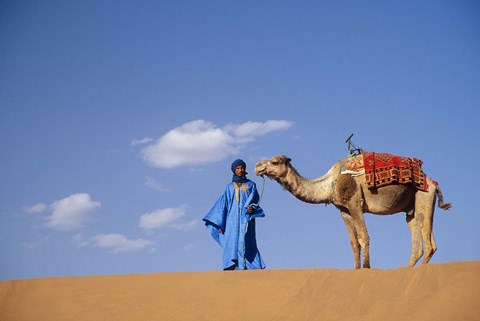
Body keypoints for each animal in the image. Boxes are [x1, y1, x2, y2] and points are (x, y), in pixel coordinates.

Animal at [255, 154, 450, 268]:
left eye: (275, 162)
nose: (257, 166)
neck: (330, 183)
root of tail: (433, 183)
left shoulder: (355, 203)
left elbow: (364, 237)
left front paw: (366, 268)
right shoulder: (343, 209)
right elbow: (353, 243)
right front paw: (356, 269)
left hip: (424, 197)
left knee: (429, 243)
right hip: (413, 209)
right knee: (419, 240)